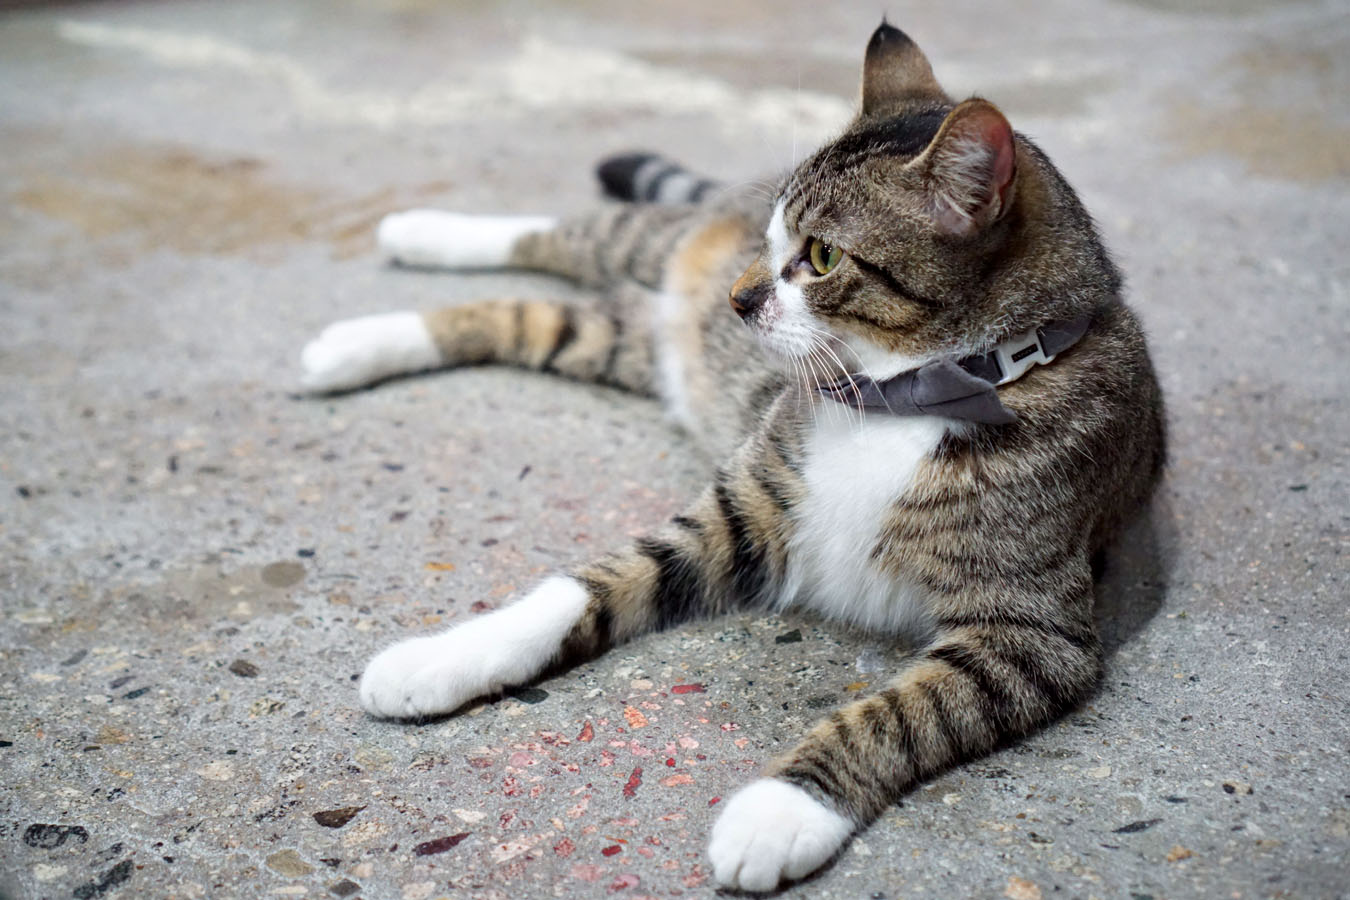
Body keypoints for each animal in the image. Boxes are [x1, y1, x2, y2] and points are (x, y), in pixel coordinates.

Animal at [295, 21, 1161, 895]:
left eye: (821, 256)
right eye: (773, 238)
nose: (739, 297)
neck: (902, 398)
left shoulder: (1032, 635)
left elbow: (902, 714)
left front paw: (782, 809)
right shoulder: (744, 508)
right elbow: (583, 586)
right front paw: (440, 657)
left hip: (622, 340)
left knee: (537, 314)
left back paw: (363, 331)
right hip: (645, 253)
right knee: (567, 234)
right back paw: (408, 246)